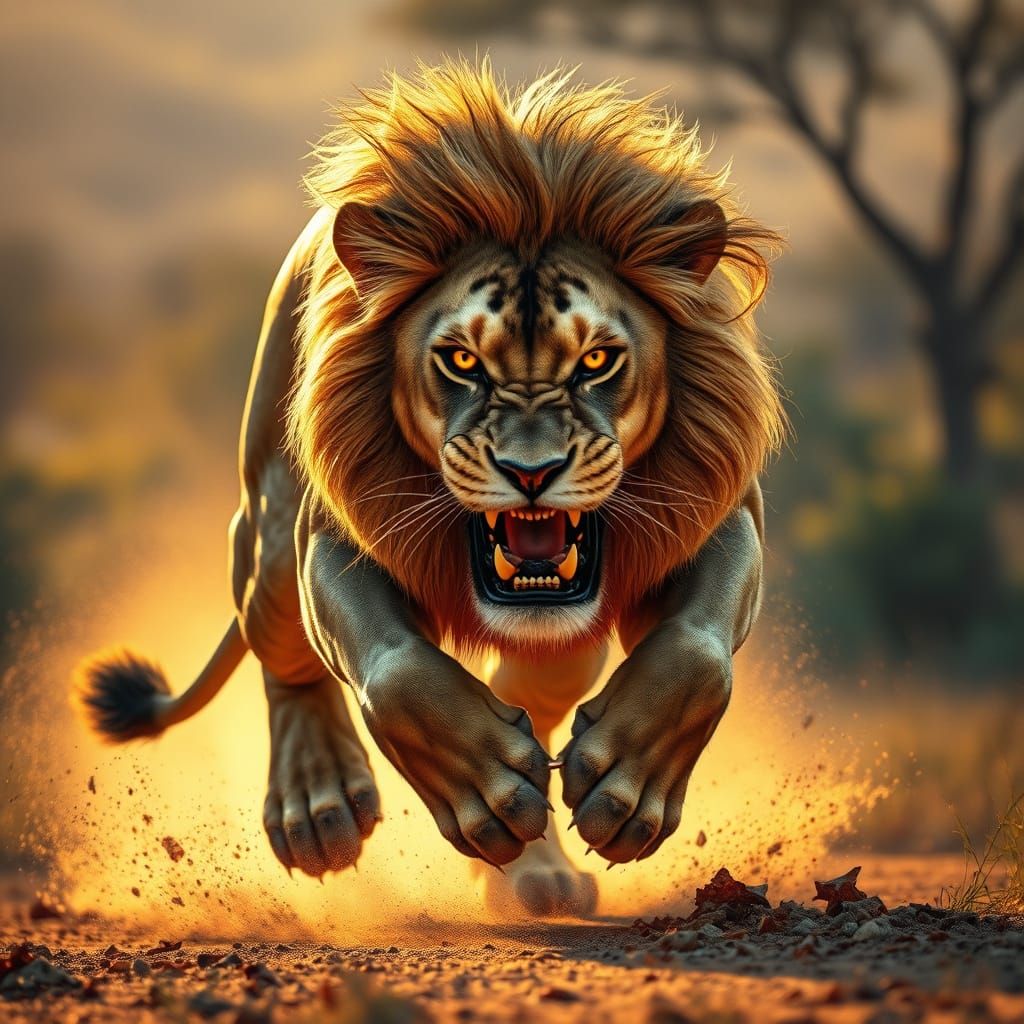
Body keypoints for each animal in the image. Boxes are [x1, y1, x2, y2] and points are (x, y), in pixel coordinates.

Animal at [76, 59, 784, 918]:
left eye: (596, 361)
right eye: (461, 362)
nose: (531, 473)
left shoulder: (722, 516)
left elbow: (699, 649)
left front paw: (620, 787)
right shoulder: (331, 537)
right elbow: (394, 667)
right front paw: (488, 787)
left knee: (536, 686)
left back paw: (534, 863)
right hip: (269, 529)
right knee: (285, 651)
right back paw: (318, 806)